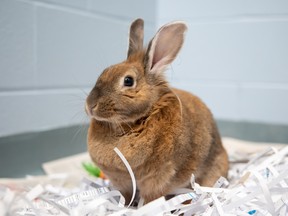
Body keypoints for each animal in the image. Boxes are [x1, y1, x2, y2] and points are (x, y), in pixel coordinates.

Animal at [84, 17, 228, 203]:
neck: (131, 124)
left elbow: (152, 198)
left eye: (128, 81)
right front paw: (125, 205)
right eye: (104, 71)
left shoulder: (157, 178)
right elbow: (125, 195)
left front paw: (143, 207)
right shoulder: (121, 181)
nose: (90, 105)